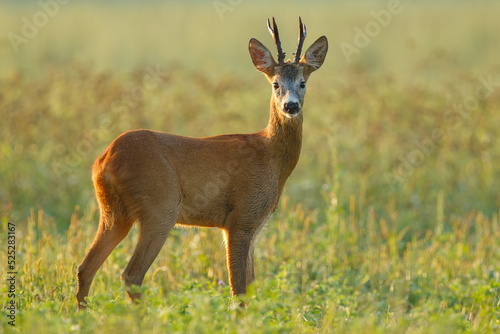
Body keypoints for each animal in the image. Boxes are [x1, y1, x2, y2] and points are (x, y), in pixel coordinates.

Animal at [76, 15, 328, 308]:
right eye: (275, 84)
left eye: (302, 83)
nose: (291, 106)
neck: (271, 157)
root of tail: (104, 160)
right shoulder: (241, 217)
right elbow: (239, 290)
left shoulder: (254, 225)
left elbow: (251, 286)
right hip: (160, 208)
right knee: (131, 274)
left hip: (113, 213)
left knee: (85, 267)